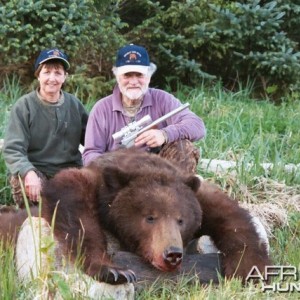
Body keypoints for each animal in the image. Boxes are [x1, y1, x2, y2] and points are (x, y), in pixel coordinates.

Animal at [0, 149, 270, 284]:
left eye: (181, 220)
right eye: (150, 217)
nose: (172, 253)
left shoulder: (200, 195)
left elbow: (234, 221)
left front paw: (250, 270)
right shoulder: (95, 186)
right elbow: (75, 208)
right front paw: (114, 270)